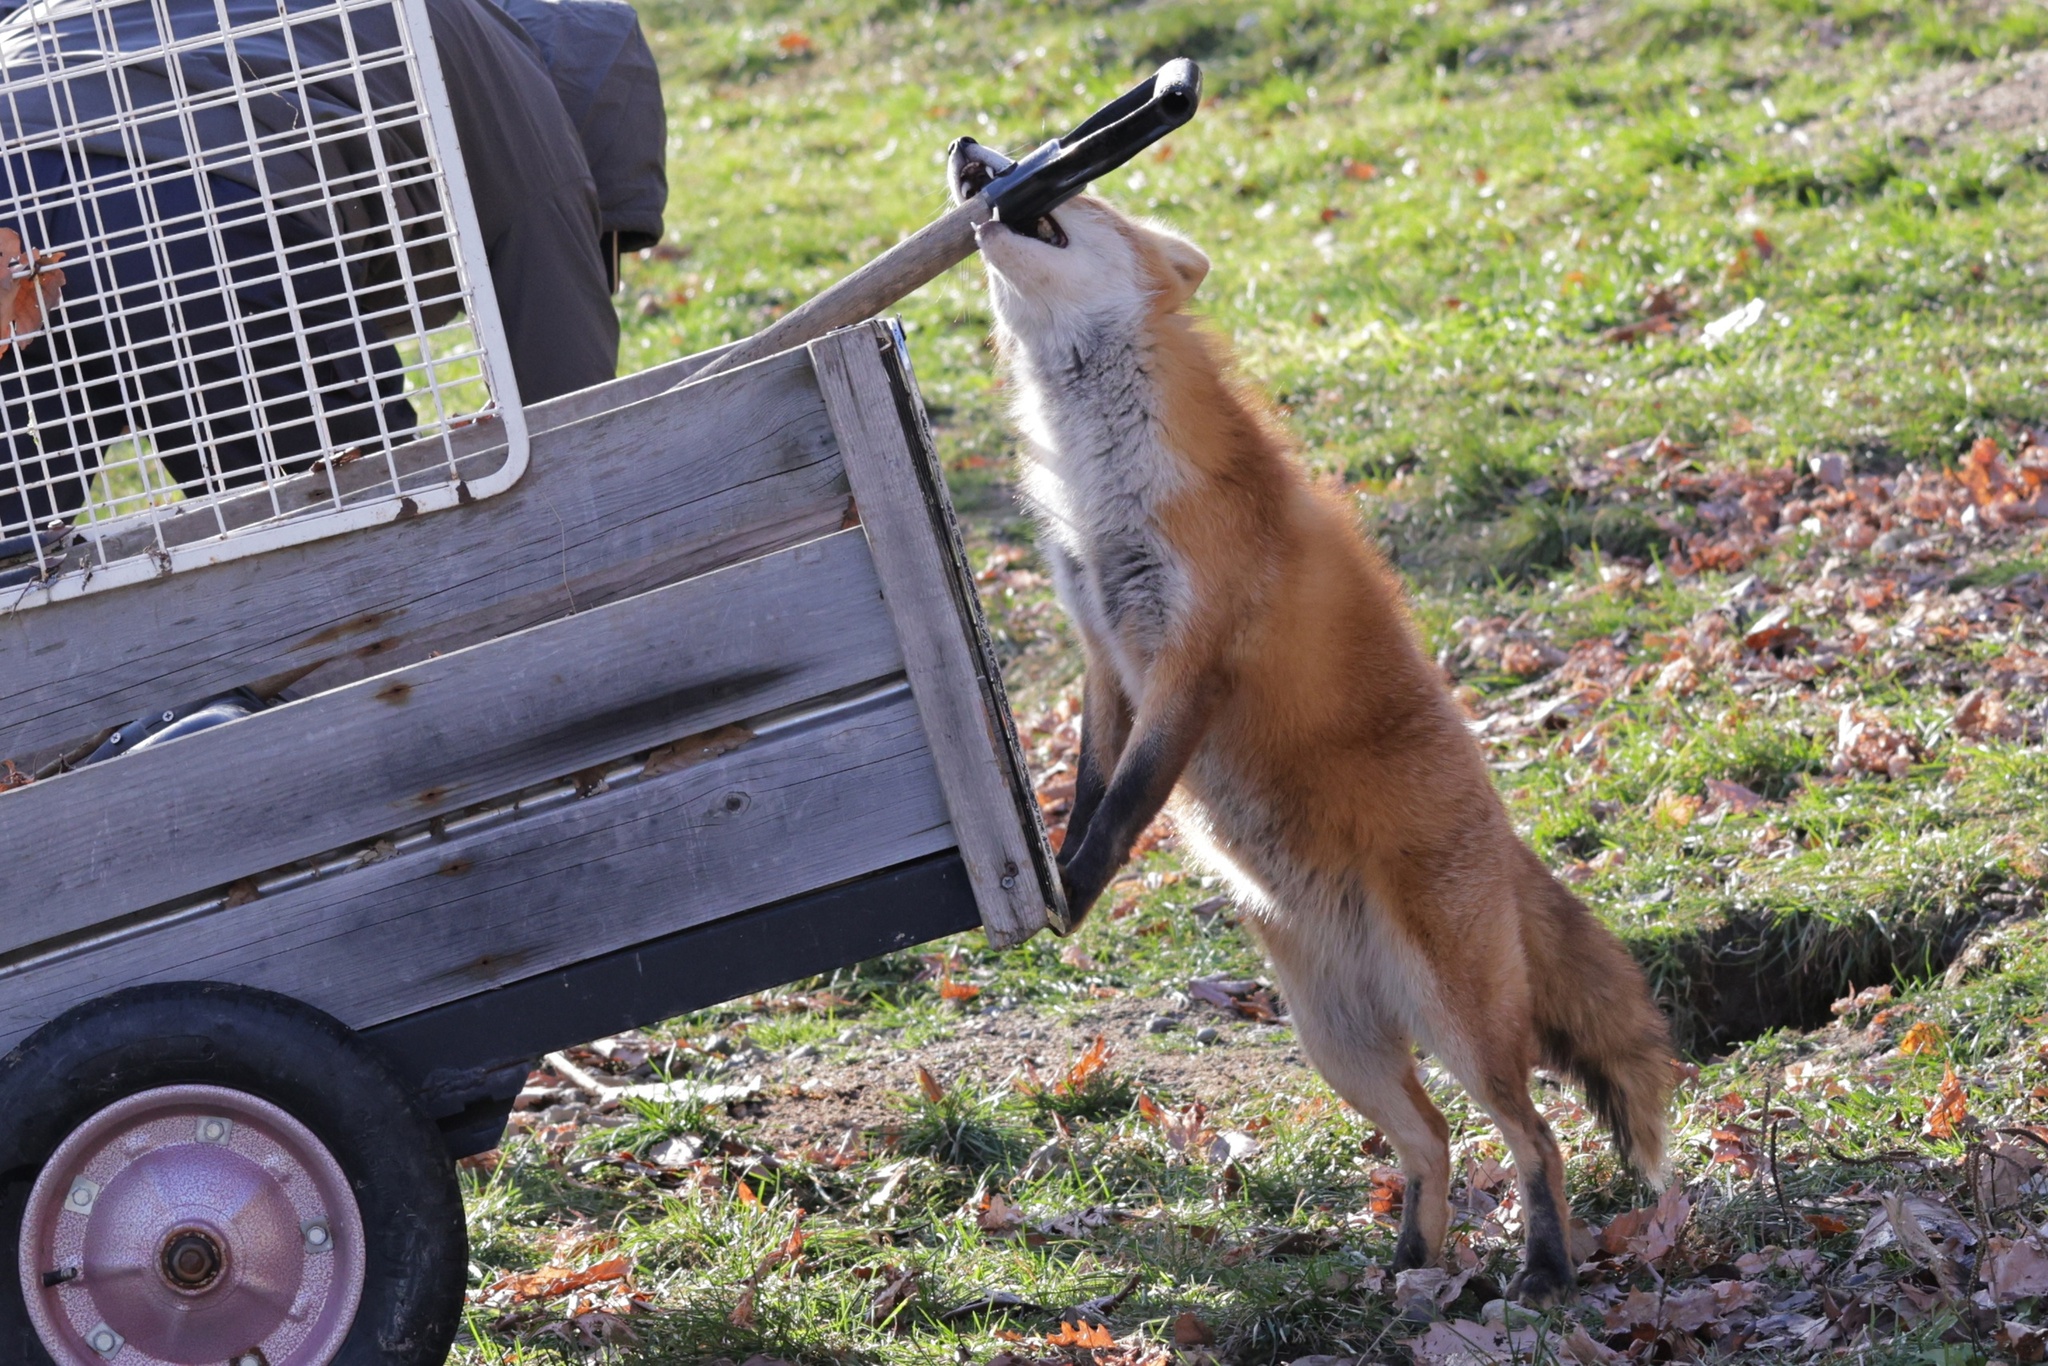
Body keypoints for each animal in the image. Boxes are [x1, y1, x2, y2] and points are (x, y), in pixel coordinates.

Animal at [950, 139, 1671, 1302]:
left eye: (1072, 182)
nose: (968, 152)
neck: (1108, 492)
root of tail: (1505, 838)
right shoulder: (1105, 652)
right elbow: (1089, 785)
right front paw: (1054, 872)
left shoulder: (1192, 659)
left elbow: (1131, 801)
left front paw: (1074, 893)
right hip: (1336, 1038)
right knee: (1431, 1144)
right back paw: (1409, 1275)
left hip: (1454, 1017)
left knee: (1535, 1139)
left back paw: (1544, 1269)